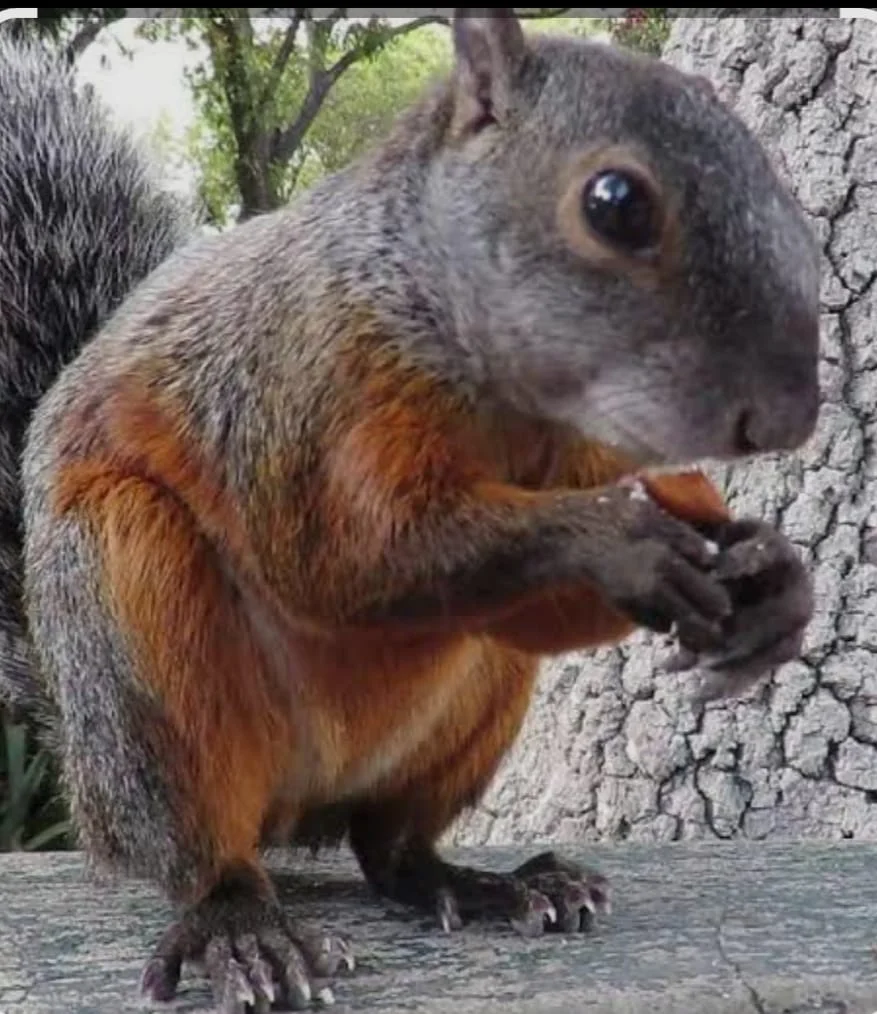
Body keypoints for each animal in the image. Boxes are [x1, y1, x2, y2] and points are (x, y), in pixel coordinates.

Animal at [0, 11, 818, 1013]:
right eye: (614, 202)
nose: (788, 416)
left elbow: (540, 613)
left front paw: (772, 577)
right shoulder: (298, 384)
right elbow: (339, 558)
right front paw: (617, 541)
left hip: (458, 724)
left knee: (391, 848)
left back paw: (485, 883)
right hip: (131, 636)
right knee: (198, 851)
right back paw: (241, 925)